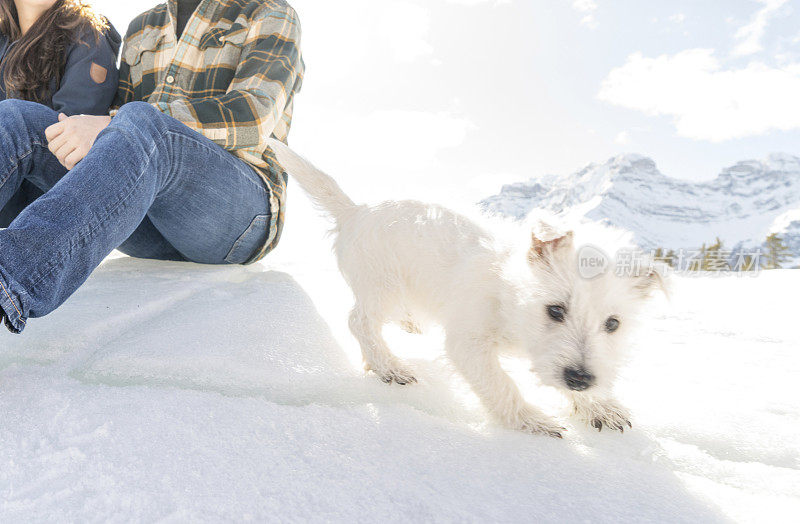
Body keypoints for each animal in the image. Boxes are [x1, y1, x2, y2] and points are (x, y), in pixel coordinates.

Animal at [268, 140, 664, 438]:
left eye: (613, 324)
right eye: (555, 310)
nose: (580, 379)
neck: (508, 294)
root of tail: (355, 211)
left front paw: (599, 405)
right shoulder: (468, 343)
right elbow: (499, 383)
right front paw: (530, 420)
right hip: (384, 286)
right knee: (360, 322)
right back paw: (389, 366)